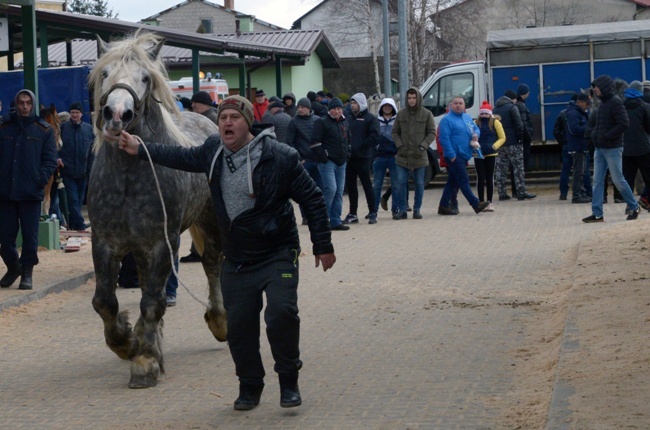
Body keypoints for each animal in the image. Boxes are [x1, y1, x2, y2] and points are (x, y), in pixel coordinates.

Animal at [86, 32, 228, 390]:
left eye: (145, 77)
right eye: (105, 73)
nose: (116, 114)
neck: (128, 176)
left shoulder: (162, 244)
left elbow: (152, 302)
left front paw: (145, 361)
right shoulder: (105, 244)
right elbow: (105, 302)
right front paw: (127, 341)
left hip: (209, 223)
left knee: (212, 265)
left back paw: (219, 322)